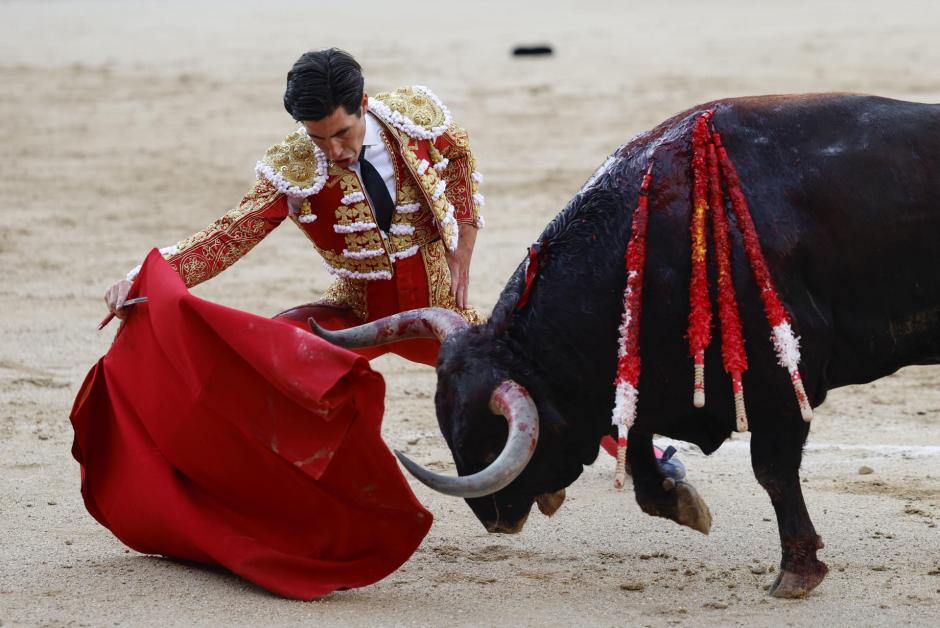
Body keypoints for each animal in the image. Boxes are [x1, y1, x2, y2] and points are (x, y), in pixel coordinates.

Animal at [310, 94, 940, 600]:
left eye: (487, 441)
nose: (497, 522)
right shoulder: (640, 370)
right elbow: (635, 443)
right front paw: (681, 501)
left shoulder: (782, 383)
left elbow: (773, 472)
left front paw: (796, 573)